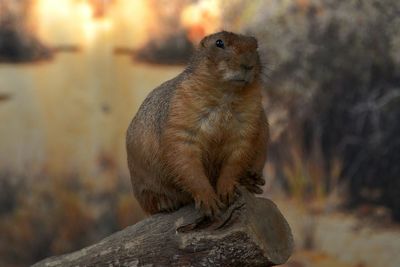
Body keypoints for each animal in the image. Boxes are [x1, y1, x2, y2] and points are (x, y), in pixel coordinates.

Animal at [126, 30, 268, 218]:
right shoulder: (181, 114)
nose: (248, 64)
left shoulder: (249, 122)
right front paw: (209, 201)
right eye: (219, 43)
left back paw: (251, 180)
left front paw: (227, 190)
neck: (227, 95)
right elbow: (185, 158)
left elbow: (236, 158)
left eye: (255, 46)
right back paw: (166, 203)